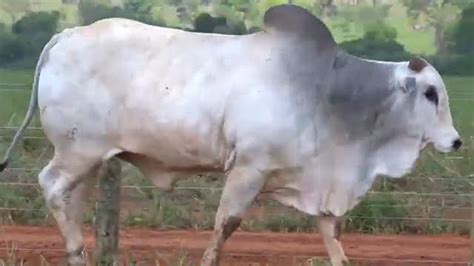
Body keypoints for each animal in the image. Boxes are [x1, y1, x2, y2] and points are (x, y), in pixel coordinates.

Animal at [0, 4, 462, 266]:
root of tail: (66, 35)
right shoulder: (249, 169)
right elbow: (226, 225)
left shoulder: (318, 179)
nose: (456, 141)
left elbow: (332, 235)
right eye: (430, 93)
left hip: (89, 157)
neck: (331, 92)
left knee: (71, 198)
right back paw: (75, 250)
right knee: (51, 186)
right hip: (76, 151)